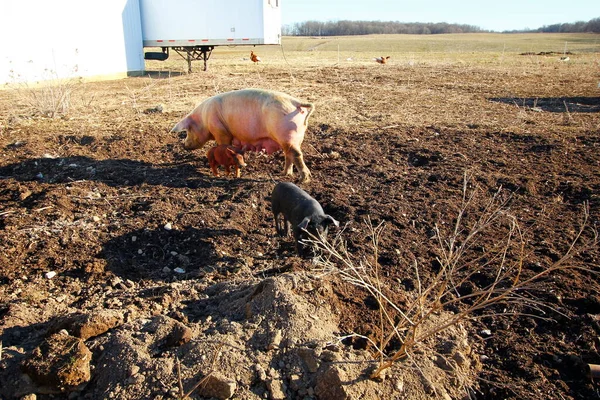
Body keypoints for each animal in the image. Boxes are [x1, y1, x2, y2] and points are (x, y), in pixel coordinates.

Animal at [171, 89, 316, 183]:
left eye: (188, 130)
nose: (184, 145)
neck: (204, 119)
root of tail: (296, 103)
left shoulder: (220, 131)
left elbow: (222, 145)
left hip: (287, 135)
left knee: (296, 155)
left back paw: (304, 180)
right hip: (291, 138)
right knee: (289, 155)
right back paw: (285, 174)